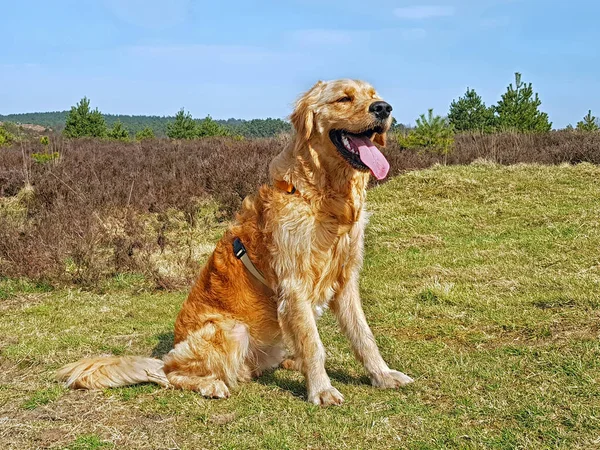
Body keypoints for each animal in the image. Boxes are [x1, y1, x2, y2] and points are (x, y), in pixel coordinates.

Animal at [57, 79, 412, 406]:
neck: (323, 197)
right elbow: (314, 345)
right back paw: (211, 384)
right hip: (231, 330)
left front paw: (382, 374)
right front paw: (321, 390)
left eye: (373, 95)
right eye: (344, 98)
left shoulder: (345, 279)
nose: (383, 108)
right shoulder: (294, 284)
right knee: (173, 375)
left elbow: (364, 336)